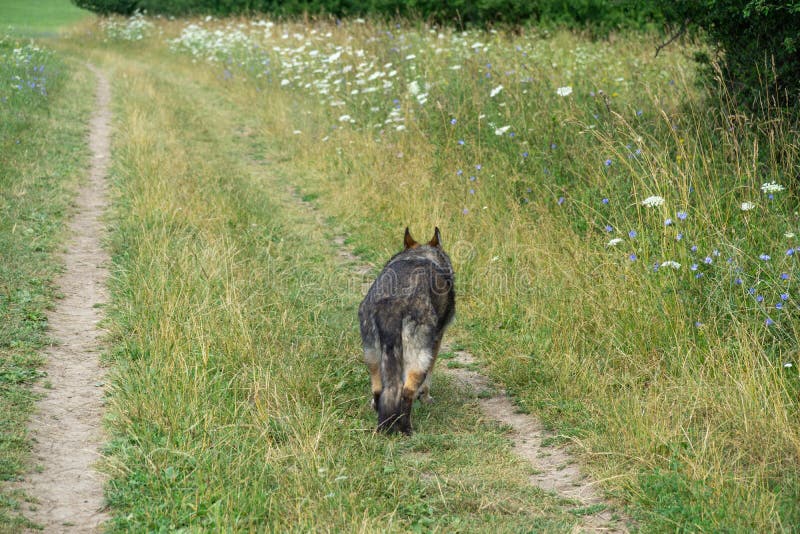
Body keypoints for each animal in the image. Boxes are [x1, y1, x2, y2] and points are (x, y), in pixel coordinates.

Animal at [358, 227, 454, 436]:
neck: (420, 254)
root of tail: (392, 304)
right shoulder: (436, 342)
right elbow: (428, 378)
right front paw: (425, 398)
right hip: (419, 356)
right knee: (406, 391)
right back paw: (406, 429)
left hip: (372, 355)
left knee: (379, 389)